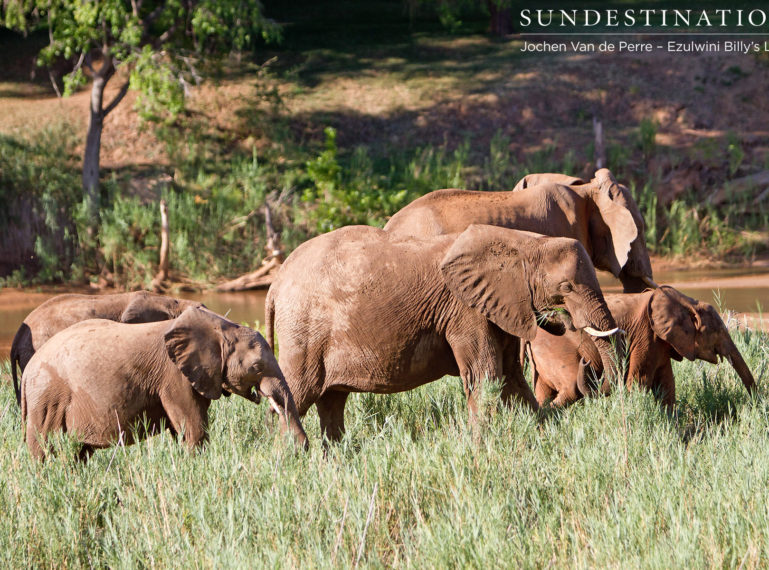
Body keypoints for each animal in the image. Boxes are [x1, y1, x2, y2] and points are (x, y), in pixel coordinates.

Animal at [20, 306, 306, 458]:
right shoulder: (173, 376)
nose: (299, 448)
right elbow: (193, 428)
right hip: (47, 398)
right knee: (44, 447)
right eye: (256, 367)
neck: (221, 327)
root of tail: (26, 373)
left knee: (79, 453)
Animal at [268, 224, 620, 442]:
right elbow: (486, 374)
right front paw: (481, 446)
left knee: (331, 402)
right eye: (567, 287)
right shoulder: (465, 309)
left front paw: (539, 436)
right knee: (296, 396)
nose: (564, 322)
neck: (522, 241)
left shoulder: (498, 303)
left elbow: (511, 377)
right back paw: (287, 459)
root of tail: (276, 281)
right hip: (303, 331)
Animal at [528, 282, 756, 404]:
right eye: (717, 331)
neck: (685, 302)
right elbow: (638, 381)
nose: (756, 403)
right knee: (570, 390)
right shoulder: (645, 335)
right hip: (557, 348)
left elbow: (666, 384)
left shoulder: (661, 342)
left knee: (545, 395)